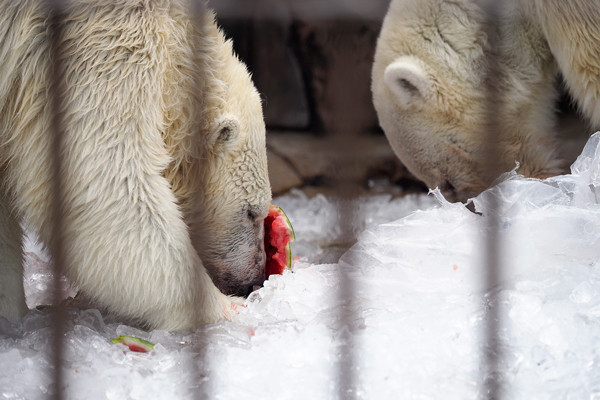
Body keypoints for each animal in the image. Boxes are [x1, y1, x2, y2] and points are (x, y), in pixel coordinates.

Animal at [0, 0, 272, 332]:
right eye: (252, 213)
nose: (255, 281)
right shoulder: (102, 41)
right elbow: (107, 184)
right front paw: (222, 307)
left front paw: (10, 314)